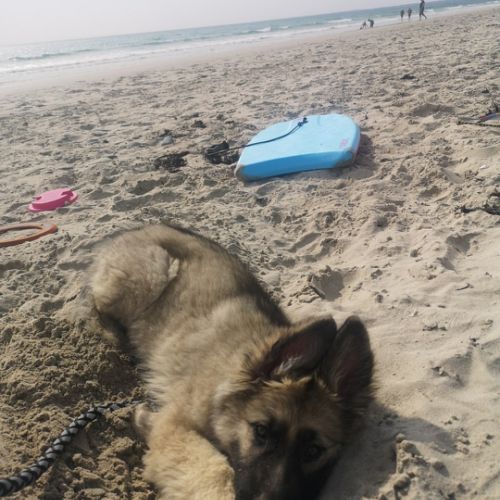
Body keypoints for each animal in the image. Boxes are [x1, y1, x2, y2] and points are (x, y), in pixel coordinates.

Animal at [90, 224, 374, 500]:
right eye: (261, 431)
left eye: (313, 451)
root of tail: (140, 227)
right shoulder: (176, 425)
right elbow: (215, 470)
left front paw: (143, 420)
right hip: (152, 275)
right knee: (98, 304)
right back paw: (114, 335)